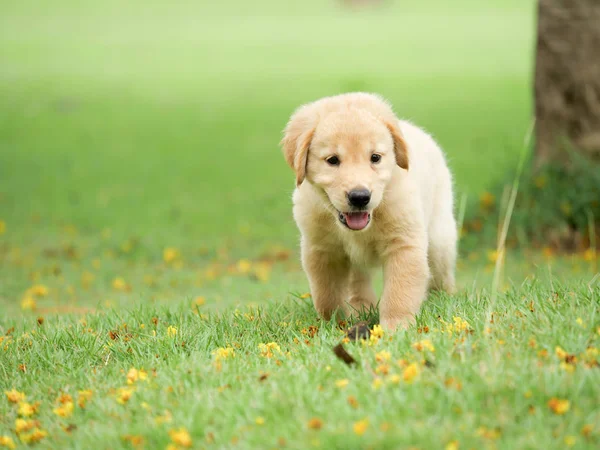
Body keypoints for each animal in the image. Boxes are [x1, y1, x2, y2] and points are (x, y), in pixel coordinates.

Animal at [280, 92, 454, 330]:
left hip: (439, 238)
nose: (360, 197)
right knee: (358, 280)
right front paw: (337, 324)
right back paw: (361, 306)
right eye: (332, 160)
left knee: (442, 273)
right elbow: (326, 295)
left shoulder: (404, 243)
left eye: (375, 157)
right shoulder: (321, 249)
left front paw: (395, 329)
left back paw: (443, 299)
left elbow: (399, 292)